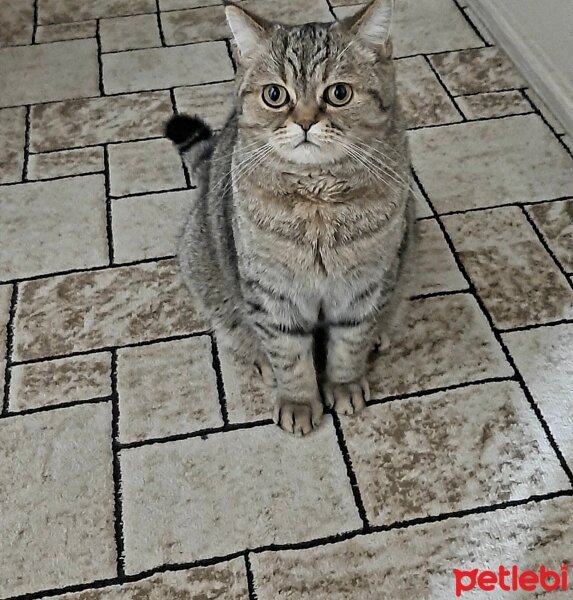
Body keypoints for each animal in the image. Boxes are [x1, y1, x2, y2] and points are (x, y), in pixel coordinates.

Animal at [163, 0, 414, 434]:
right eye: (275, 95)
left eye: (339, 93)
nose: (305, 121)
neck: (317, 199)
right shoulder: (272, 291)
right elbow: (288, 352)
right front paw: (298, 401)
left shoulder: (364, 284)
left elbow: (350, 341)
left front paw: (344, 383)